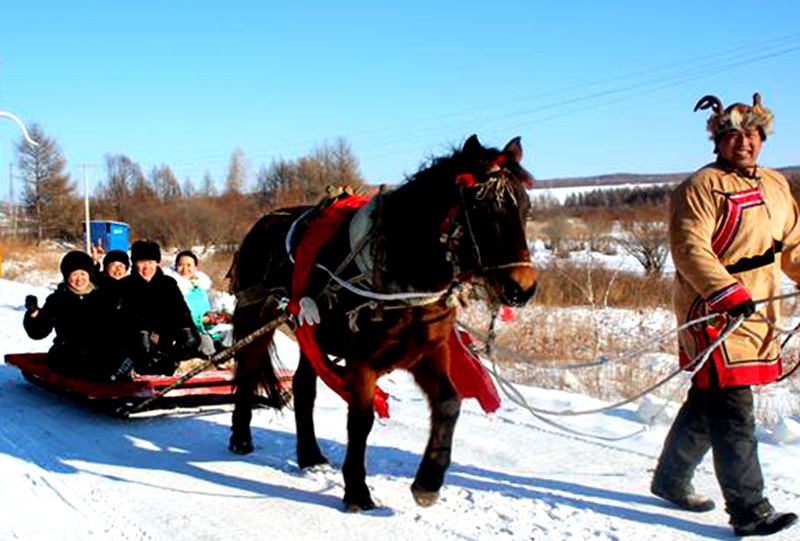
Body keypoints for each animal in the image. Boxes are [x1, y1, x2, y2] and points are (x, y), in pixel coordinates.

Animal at [228, 135, 536, 510]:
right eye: (480, 208)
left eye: (525, 208)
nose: (522, 288)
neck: (400, 268)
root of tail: (264, 222)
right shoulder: (362, 361)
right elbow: (361, 420)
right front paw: (357, 489)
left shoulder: (427, 352)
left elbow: (449, 403)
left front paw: (429, 481)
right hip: (255, 314)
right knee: (247, 371)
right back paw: (241, 437)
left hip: (309, 331)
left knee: (302, 386)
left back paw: (310, 454)